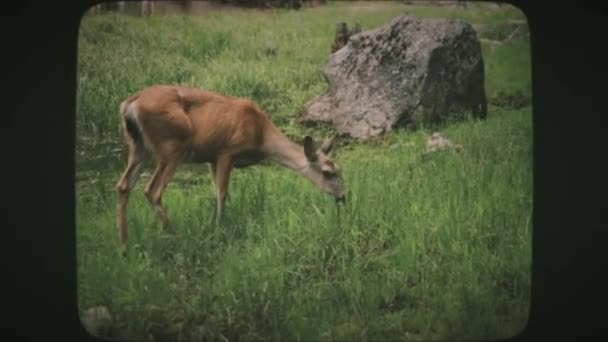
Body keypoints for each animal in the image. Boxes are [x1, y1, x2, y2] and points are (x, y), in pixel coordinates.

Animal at [114, 83, 346, 248]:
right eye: (328, 172)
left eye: (340, 169)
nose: (343, 197)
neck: (261, 137)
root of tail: (130, 104)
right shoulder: (227, 151)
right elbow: (222, 194)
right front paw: (219, 229)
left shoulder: (211, 159)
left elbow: (216, 194)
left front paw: (214, 224)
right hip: (171, 147)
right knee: (152, 190)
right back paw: (174, 236)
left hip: (138, 146)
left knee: (123, 186)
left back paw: (124, 246)